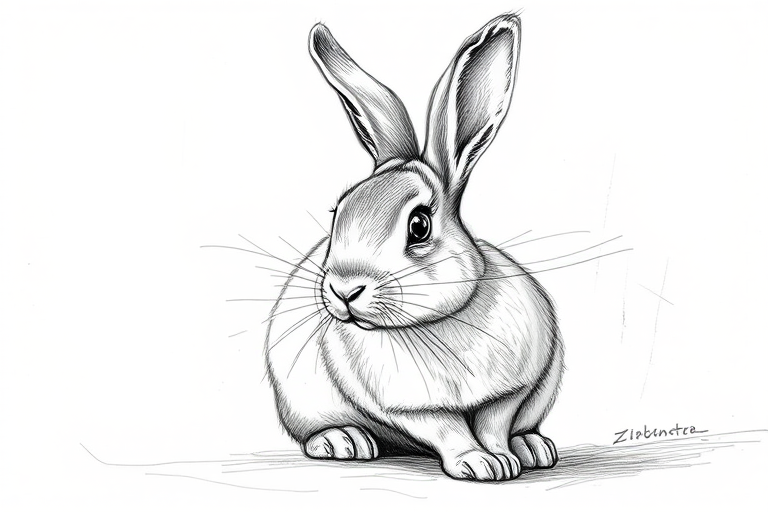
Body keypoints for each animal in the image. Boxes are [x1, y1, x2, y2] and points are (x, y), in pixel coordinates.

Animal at [264, 13, 564, 481]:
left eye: (419, 225)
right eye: (337, 212)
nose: (344, 290)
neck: (436, 322)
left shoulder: (512, 392)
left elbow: (494, 423)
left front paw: (503, 461)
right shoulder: (411, 408)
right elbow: (448, 429)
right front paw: (479, 463)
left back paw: (533, 447)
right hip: (302, 402)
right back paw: (343, 441)